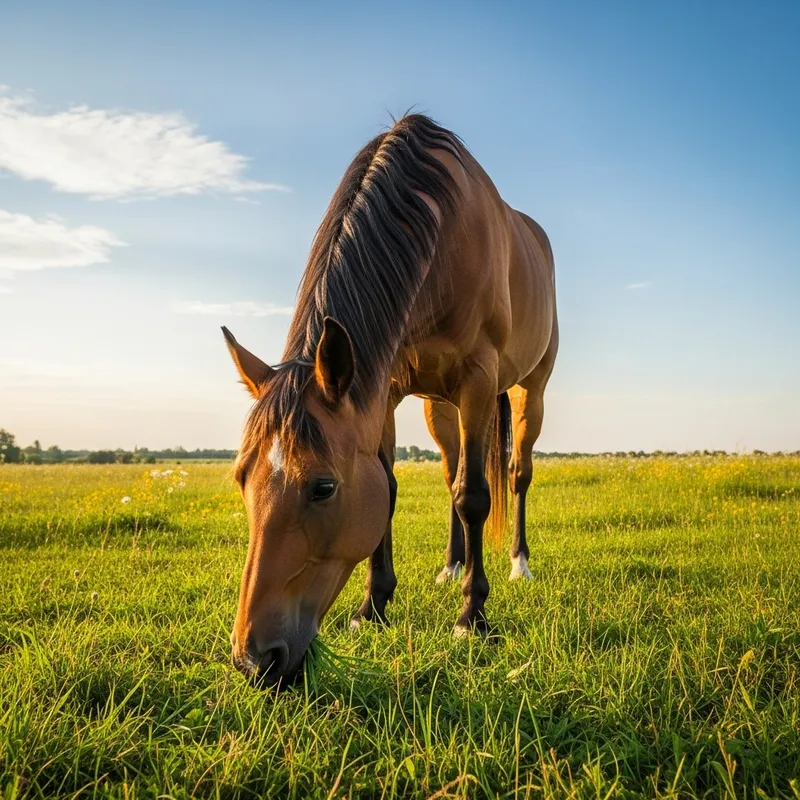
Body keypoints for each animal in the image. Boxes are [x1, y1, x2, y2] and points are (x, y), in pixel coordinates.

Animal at [223, 114, 558, 687]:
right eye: (243, 477)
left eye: (323, 488)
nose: (254, 659)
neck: (441, 236)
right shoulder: (386, 385)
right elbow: (392, 487)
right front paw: (372, 607)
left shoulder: (478, 377)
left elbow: (475, 496)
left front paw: (472, 616)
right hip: (439, 405)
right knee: (451, 473)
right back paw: (450, 565)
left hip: (527, 388)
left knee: (515, 474)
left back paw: (519, 563)